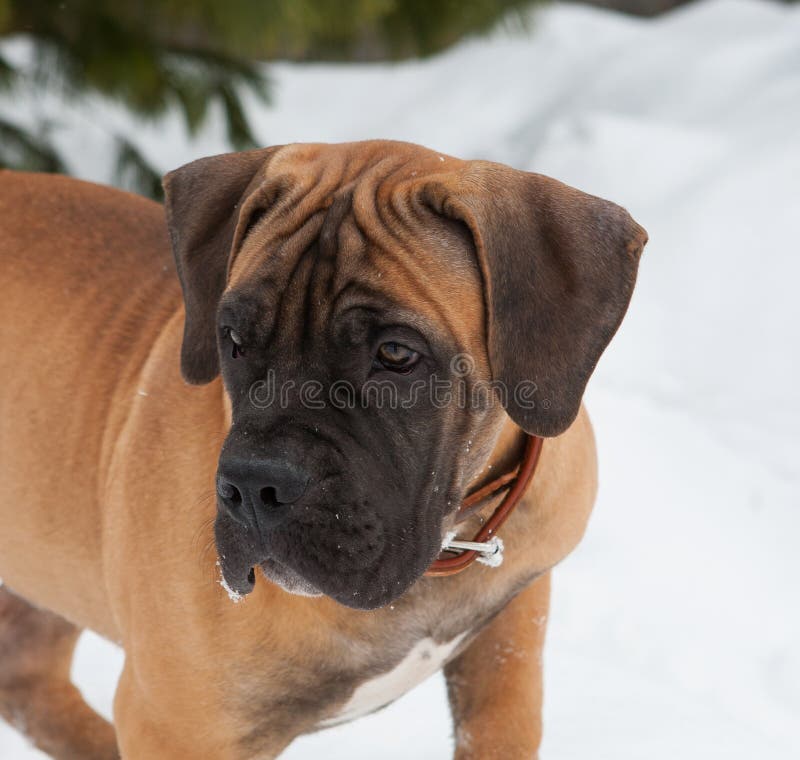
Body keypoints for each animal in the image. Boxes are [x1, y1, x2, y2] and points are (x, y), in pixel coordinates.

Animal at [0, 140, 648, 756]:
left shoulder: (506, 646)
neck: (448, 543)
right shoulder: (180, 725)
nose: (254, 486)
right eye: (231, 339)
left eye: (395, 353)